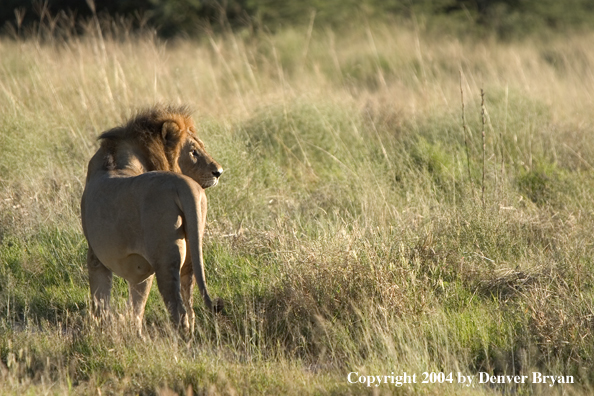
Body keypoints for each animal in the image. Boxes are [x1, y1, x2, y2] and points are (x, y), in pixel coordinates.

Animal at [80, 105, 223, 334]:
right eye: (194, 151)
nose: (219, 172)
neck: (116, 161)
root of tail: (181, 184)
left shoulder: (95, 256)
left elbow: (101, 300)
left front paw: (103, 331)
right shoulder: (142, 268)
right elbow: (137, 305)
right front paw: (135, 333)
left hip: (165, 258)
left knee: (179, 311)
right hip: (191, 254)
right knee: (190, 306)